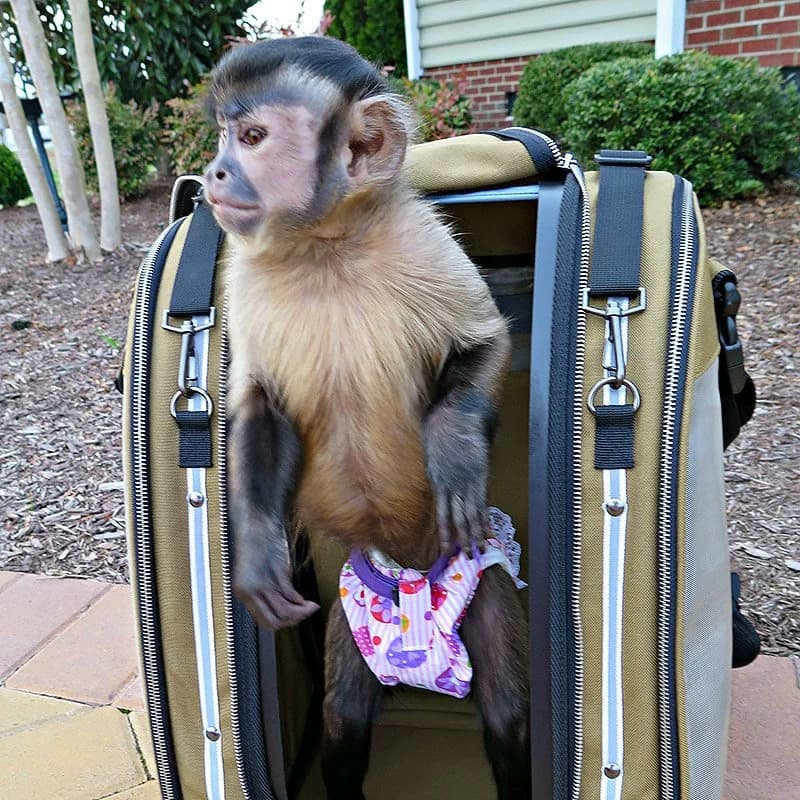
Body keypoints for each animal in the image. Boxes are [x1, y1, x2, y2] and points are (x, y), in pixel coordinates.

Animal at [203, 36, 530, 800]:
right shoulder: (242, 277)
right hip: (356, 610)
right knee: (346, 713)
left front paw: (454, 453)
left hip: (486, 582)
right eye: (222, 136)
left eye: (252, 137)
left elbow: (485, 344)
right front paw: (257, 552)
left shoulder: (423, 241)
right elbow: (261, 410)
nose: (215, 170)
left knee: (504, 712)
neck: (324, 243)